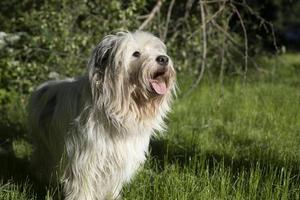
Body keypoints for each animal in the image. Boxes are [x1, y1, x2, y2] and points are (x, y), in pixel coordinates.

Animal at [28, 30, 176, 199]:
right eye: (136, 53)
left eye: (157, 52)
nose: (163, 59)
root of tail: (44, 86)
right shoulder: (84, 159)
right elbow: (82, 187)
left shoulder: (119, 159)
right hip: (44, 145)